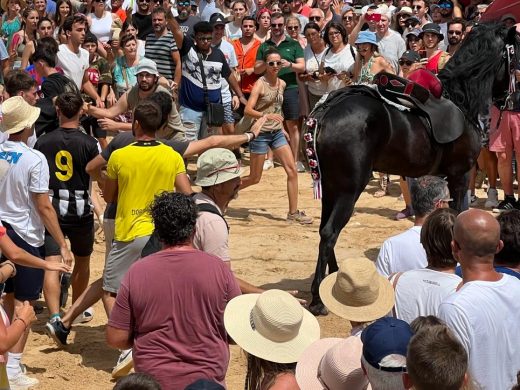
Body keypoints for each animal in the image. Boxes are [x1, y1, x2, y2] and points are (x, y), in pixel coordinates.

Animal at [306, 22, 516, 316]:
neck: (460, 99)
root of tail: (326, 111)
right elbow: (458, 216)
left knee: (325, 230)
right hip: (349, 188)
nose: (508, 98)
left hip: (332, 186)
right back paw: (317, 299)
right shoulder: (460, 175)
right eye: (513, 56)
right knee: (329, 233)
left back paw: (332, 281)